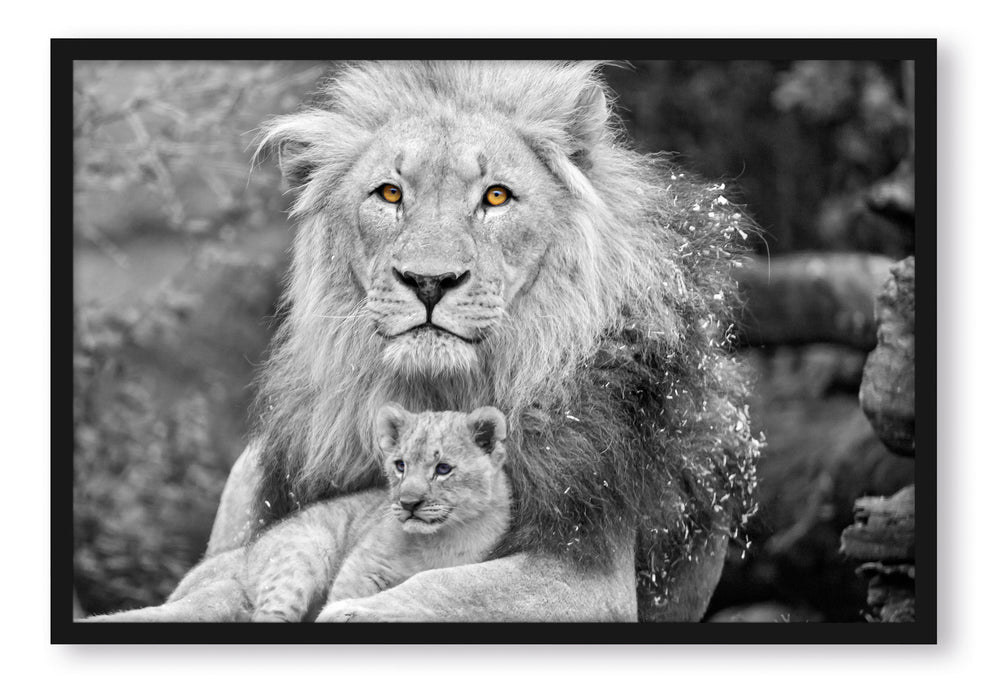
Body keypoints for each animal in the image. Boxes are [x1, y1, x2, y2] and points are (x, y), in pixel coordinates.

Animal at [91, 60, 760, 623]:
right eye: (390, 193)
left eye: (496, 196)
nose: (429, 281)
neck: (435, 392)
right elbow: (200, 595)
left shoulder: (587, 575)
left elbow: (443, 587)